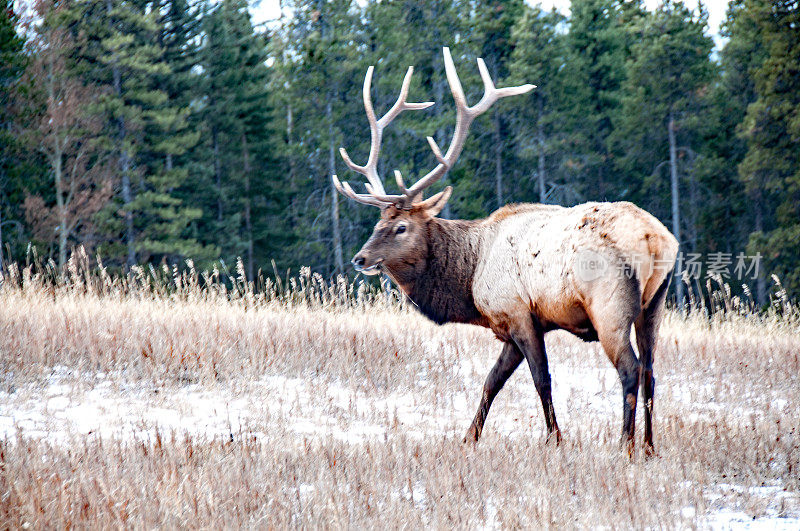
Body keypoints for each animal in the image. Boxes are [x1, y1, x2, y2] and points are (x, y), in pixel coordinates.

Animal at [330, 47, 676, 456]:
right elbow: (491, 381)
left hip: (609, 304)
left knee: (629, 368)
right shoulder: (514, 326)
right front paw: (469, 437)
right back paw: (650, 447)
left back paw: (625, 446)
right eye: (376, 223)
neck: (470, 276)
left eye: (401, 227)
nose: (360, 259)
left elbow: (541, 379)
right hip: (655, 303)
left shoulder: (516, 312)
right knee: (651, 370)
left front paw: (555, 440)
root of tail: (654, 238)